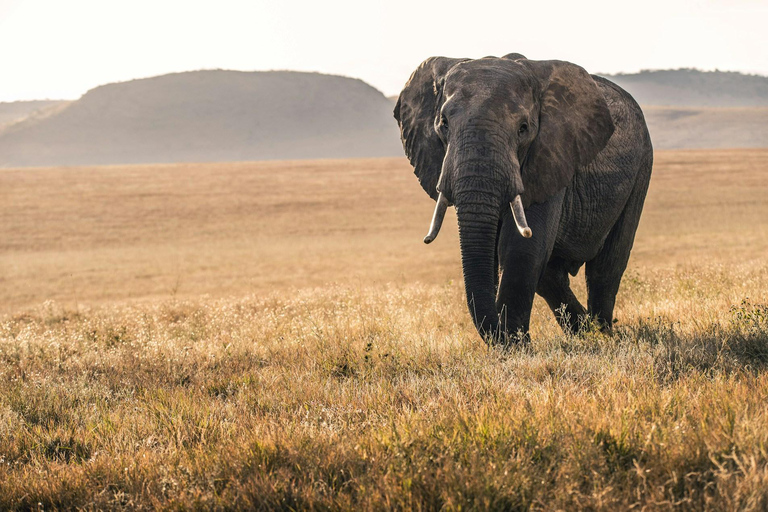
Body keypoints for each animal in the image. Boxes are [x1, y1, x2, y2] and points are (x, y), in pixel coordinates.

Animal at [396, 55, 656, 344]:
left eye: (523, 128)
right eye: (443, 124)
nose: (501, 335)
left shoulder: (550, 156)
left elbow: (520, 249)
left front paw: (516, 346)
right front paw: (514, 343)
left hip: (642, 166)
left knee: (606, 267)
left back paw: (603, 335)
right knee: (552, 276)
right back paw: (584, 332)